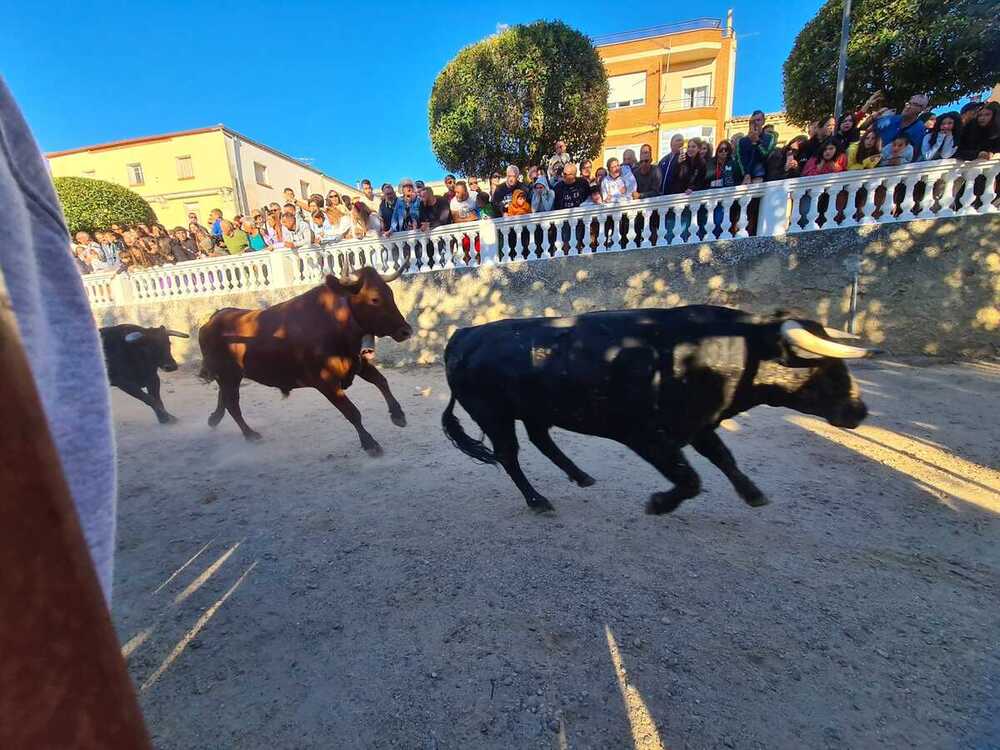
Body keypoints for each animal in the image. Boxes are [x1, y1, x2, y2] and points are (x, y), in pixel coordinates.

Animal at [199, 266, 410, 452]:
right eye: (374, 299)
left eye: (390, 293)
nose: (406, 330)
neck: (333, 322)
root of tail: (212, 319)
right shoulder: (325, 382)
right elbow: (352, 412)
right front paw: (369, 443)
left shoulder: (357, 364)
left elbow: (381, 381)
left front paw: (398, 415)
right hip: (228, 375)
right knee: (232, 404)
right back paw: (249, 434)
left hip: (230, 377)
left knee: (224, 397)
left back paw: (214, 419)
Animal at [442, 306, 872, 516]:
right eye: (825, 367)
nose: (859, 411)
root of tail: (464, 335)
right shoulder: (647, 437)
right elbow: (690, 479)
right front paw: (659, 504)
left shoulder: (699, 426)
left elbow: (724, 458)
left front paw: (752, 493)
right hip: (493, 415)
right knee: (509, 456)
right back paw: (538, 501)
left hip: (534, 408)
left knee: (541, 440)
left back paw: (581, 476)